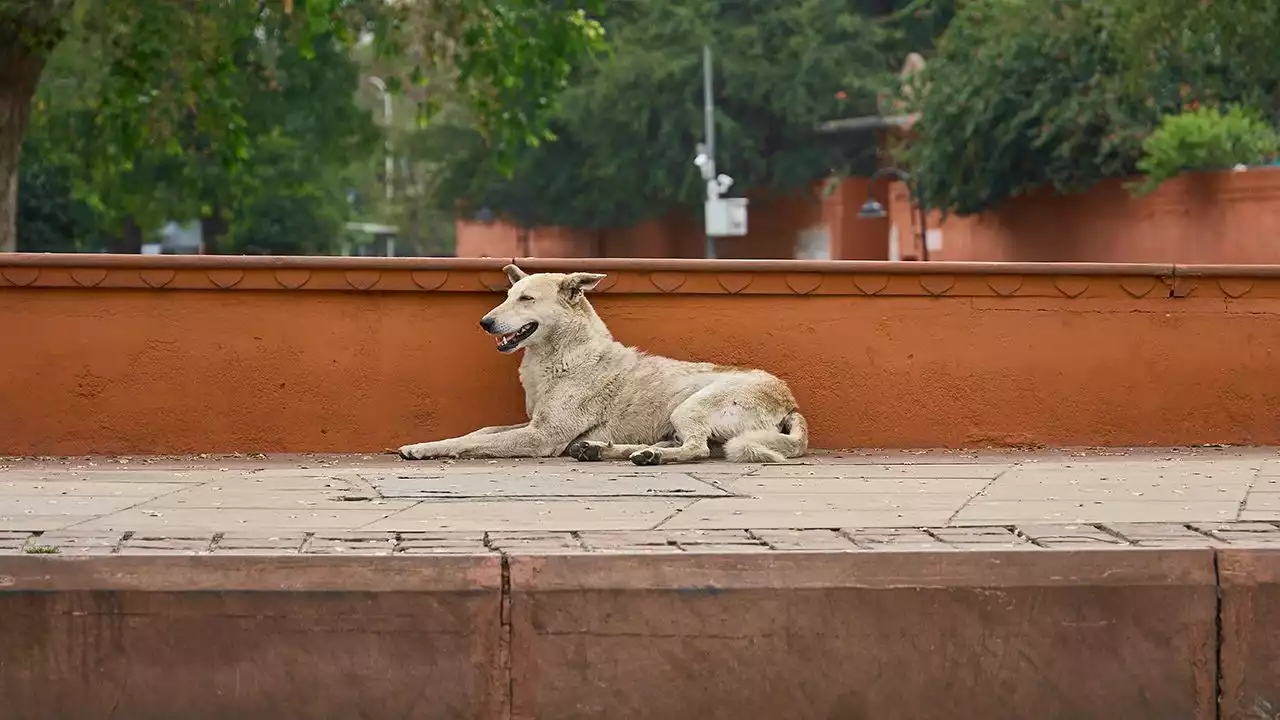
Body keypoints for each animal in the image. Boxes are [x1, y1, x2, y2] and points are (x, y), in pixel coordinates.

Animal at [396, 265, 808, 466]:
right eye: (509, 295)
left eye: (526, 299)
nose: (484, 322)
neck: (563, 356)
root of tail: (790, 401)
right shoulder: (533, 423)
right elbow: (479, 432)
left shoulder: (541, 436)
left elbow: (474, 442)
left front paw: (423, 448)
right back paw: (607, 450)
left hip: (690, 407)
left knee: (698, 449)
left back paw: (651, 457)